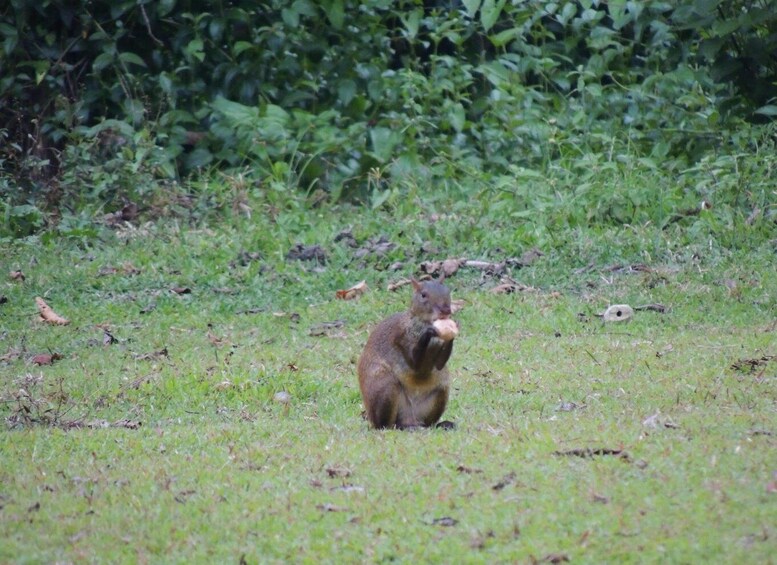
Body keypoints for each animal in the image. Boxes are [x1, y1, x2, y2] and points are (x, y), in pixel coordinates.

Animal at [358, 278, 458, 429]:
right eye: (423, 295)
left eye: (447, 290)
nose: (446, 310)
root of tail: (409, 419)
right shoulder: (400, 337)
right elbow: (414, 363)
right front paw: (427, 333)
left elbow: (440, 364)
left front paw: (453, 329)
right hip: (385, 386)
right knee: (386, 426)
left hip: (442, 390)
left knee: (427, 423)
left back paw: (441, 424)